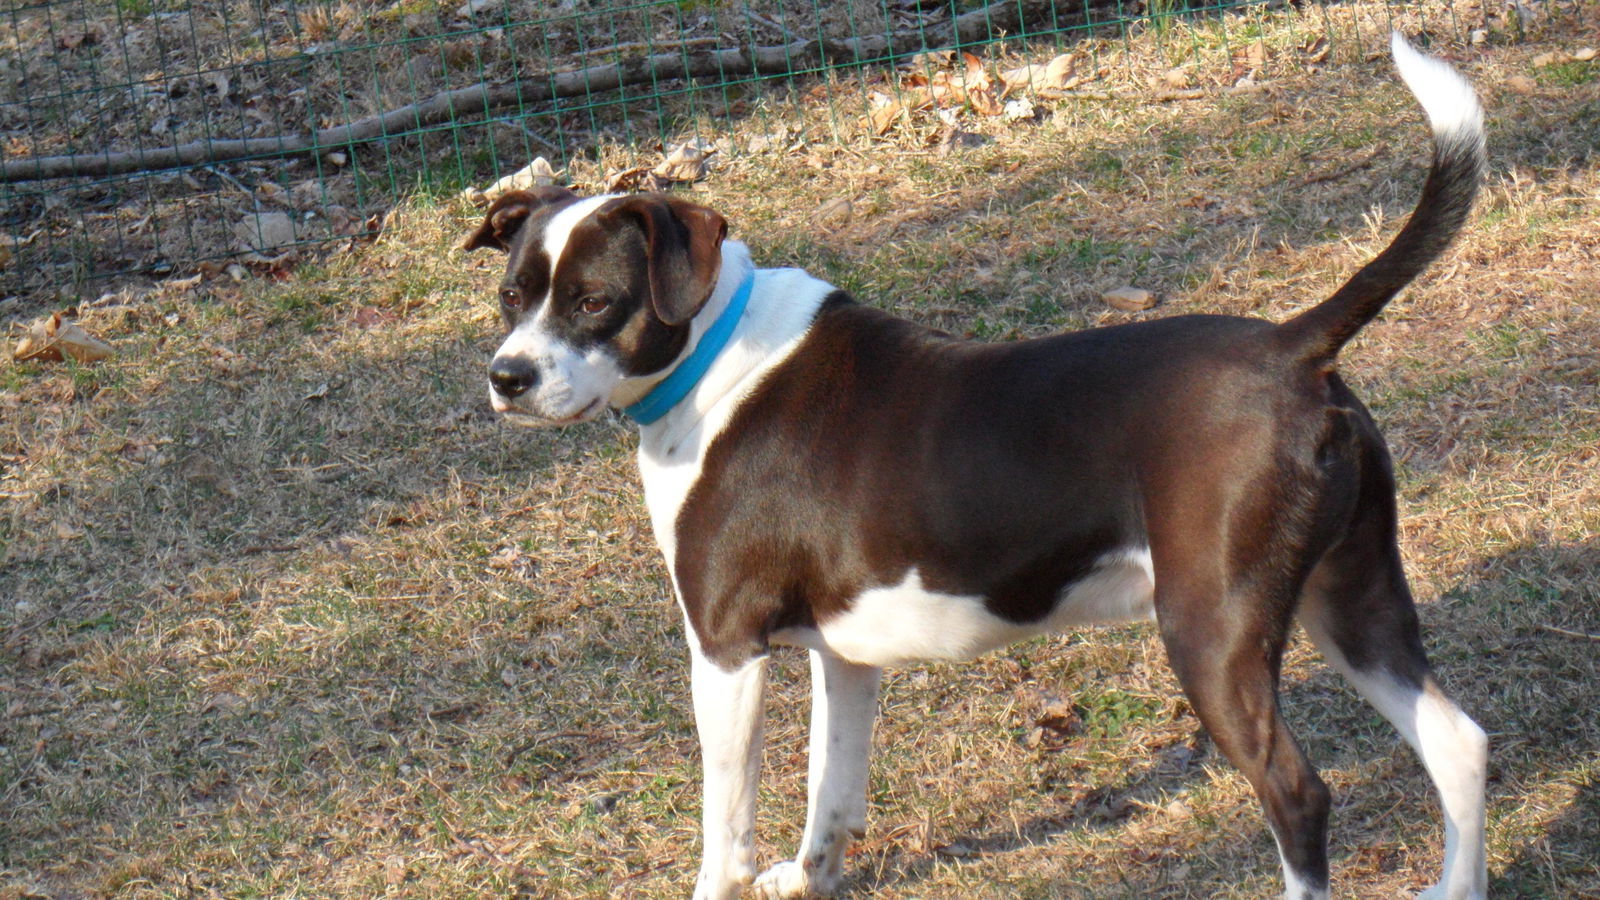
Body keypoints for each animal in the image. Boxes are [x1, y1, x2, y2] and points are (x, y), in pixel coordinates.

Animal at [467, 33, 1491, 896]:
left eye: (594, 302)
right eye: (513, 295)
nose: (506, 378)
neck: (718, 355)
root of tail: (1293, 344)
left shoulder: (725, 652)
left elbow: (727, 833)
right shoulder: (846, 656)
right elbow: (831, 793)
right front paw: (811, 879)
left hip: (1212, 631)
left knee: (1298, 793)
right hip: (1350, 599)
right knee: (1459, 744)